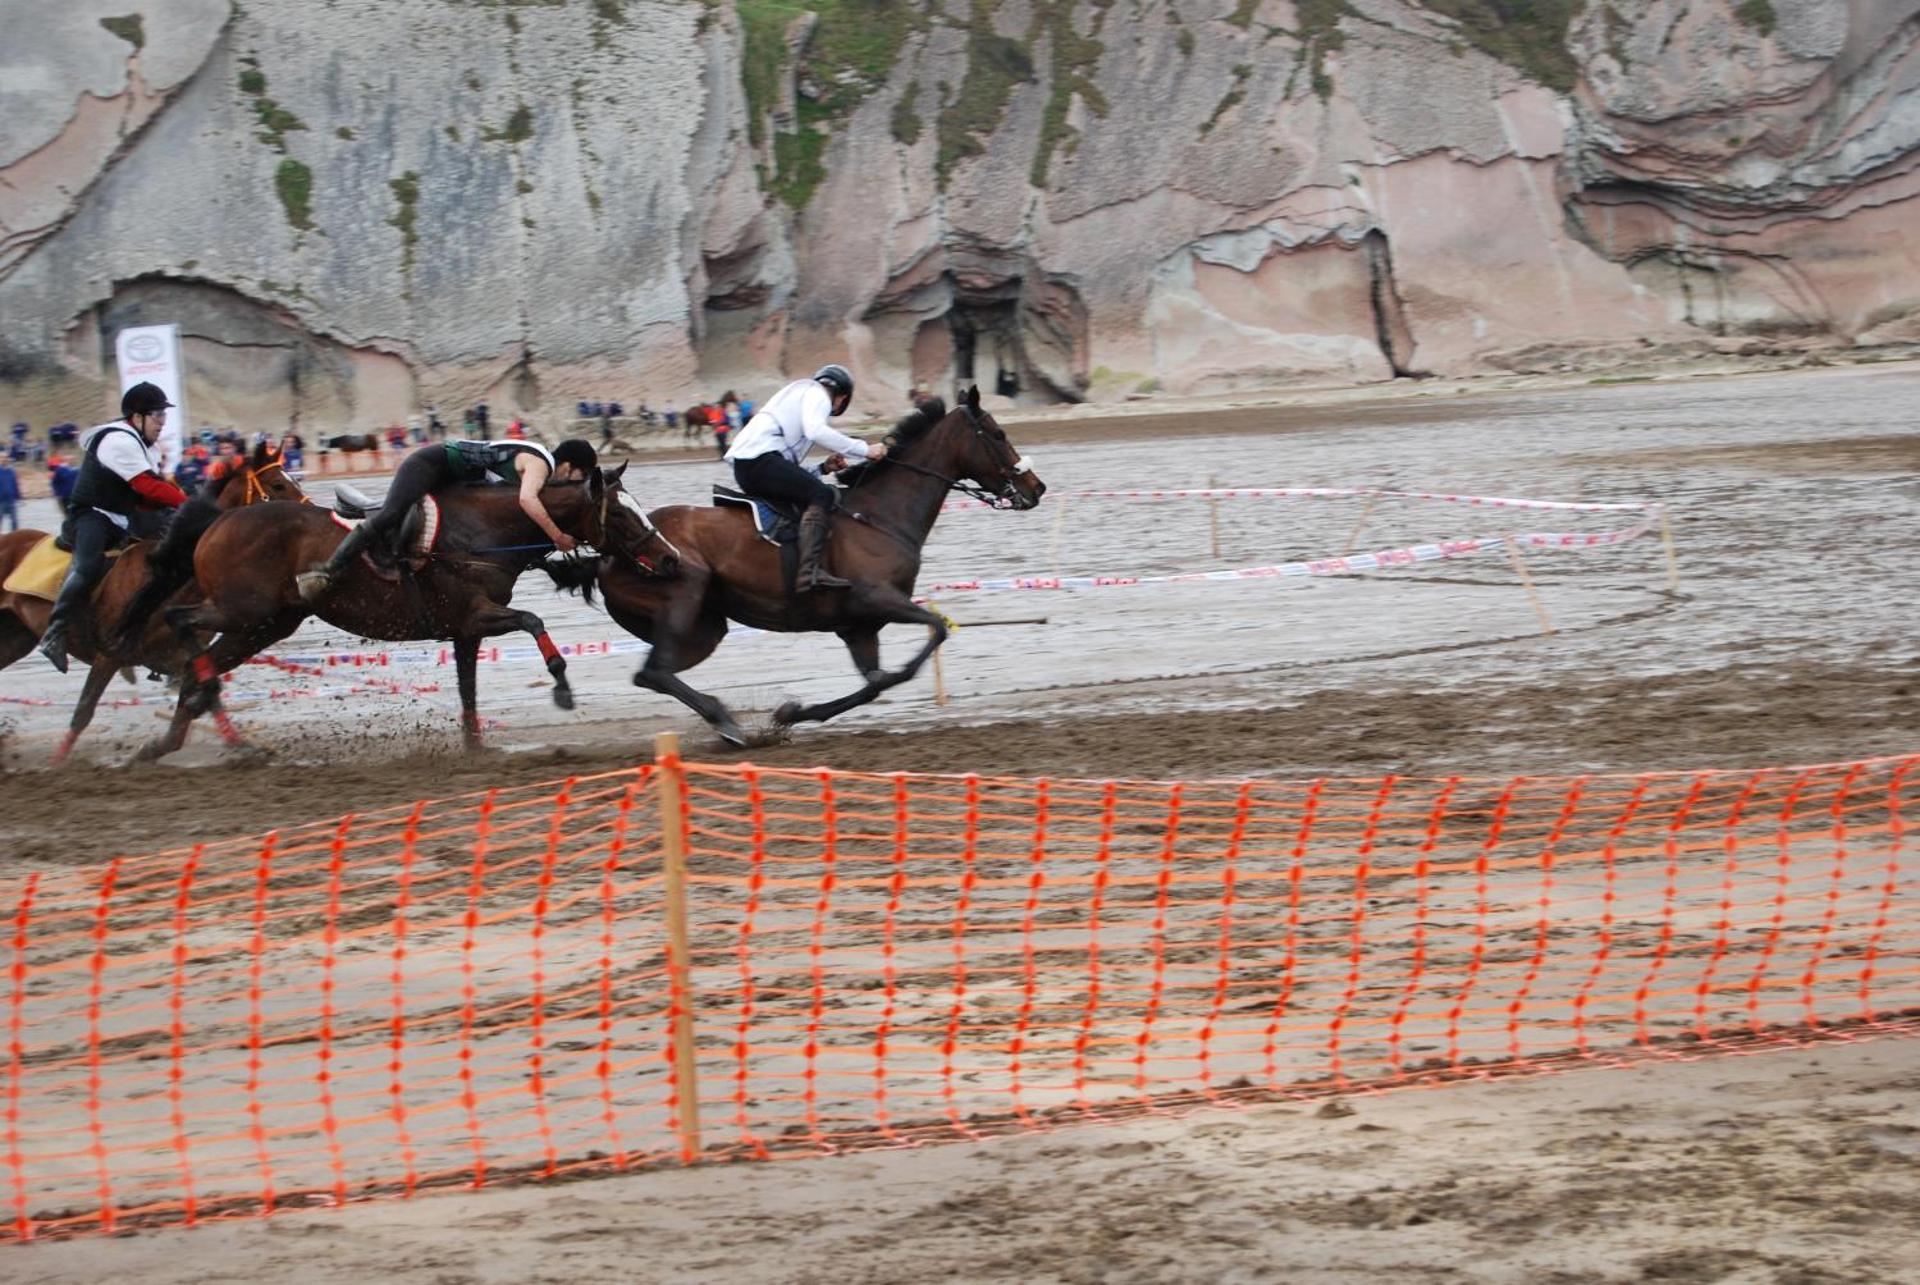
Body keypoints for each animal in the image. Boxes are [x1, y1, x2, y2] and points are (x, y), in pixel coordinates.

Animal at [0, 443, 310, 761]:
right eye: (278, 484)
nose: (311, 514)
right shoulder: (110, 655)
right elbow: (83, 712)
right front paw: (58, 763)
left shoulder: (182, 657)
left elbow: (202, 697)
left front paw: (240, 745)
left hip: (14, 638)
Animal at [135, 464, 681, 761]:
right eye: (624, 514)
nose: (671, 560)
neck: (486, 530)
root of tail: (219, 521)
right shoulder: (474, 614)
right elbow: (534, 621)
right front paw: (563, 687)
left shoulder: (465, 630)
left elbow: (468, 690)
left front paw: (475, 748)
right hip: (243, 610)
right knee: (181, 623)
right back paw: (204, 708)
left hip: (262, 626)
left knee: (195, 665)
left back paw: (180, 742)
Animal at [596, 387, 1044, 745]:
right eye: (999, 435)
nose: (1036, 488)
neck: (880, 516)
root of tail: (606, 552)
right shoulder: (877, 599)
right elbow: (932, 634)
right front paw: (787, 714)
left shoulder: (860, 627)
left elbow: (875, 683)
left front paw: (790, 714)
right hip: (683, 597)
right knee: (656, 672)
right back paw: (727, 723)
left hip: (705, 629)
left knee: (652, 671)